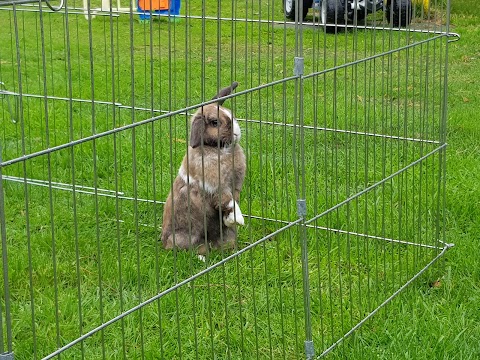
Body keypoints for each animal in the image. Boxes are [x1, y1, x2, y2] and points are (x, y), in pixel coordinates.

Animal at [161, 82, 246, 255]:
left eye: (232, 115)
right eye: (214, 122)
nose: (236, 134)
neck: (219, 149)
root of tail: (163, 243)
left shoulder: (235, 186)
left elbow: (233, 201)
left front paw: (229, 220)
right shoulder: (217, 186)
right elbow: (229, 202)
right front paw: (239, 220)